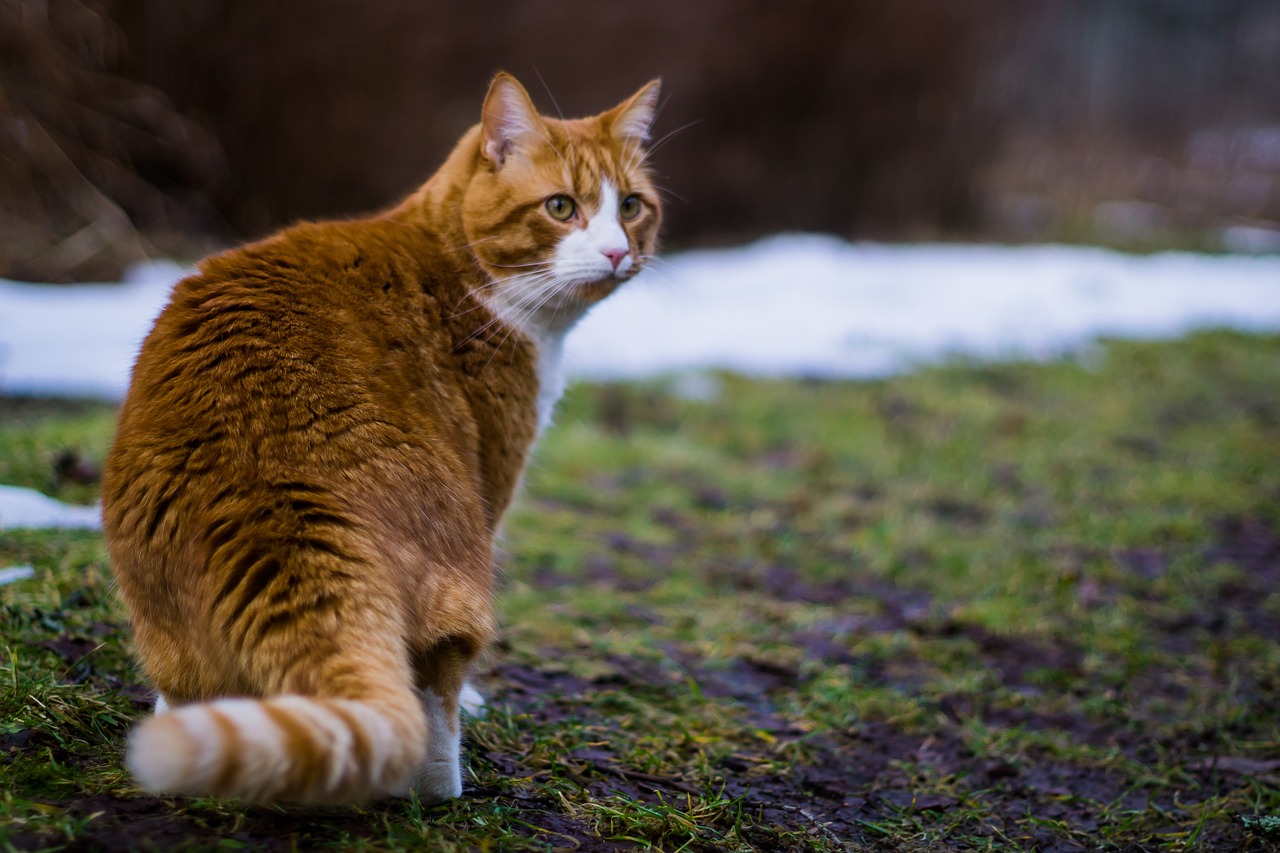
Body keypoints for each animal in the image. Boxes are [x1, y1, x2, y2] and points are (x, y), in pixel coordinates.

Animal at [99, 74, 660, 804]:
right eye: (561, 207)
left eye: (632, 207)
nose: (619, 251)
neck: (461, 273)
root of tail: (274, 490)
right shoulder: (495, 469)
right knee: (429, 704)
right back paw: (441, 777)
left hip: (157, 607)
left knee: (190, 686)